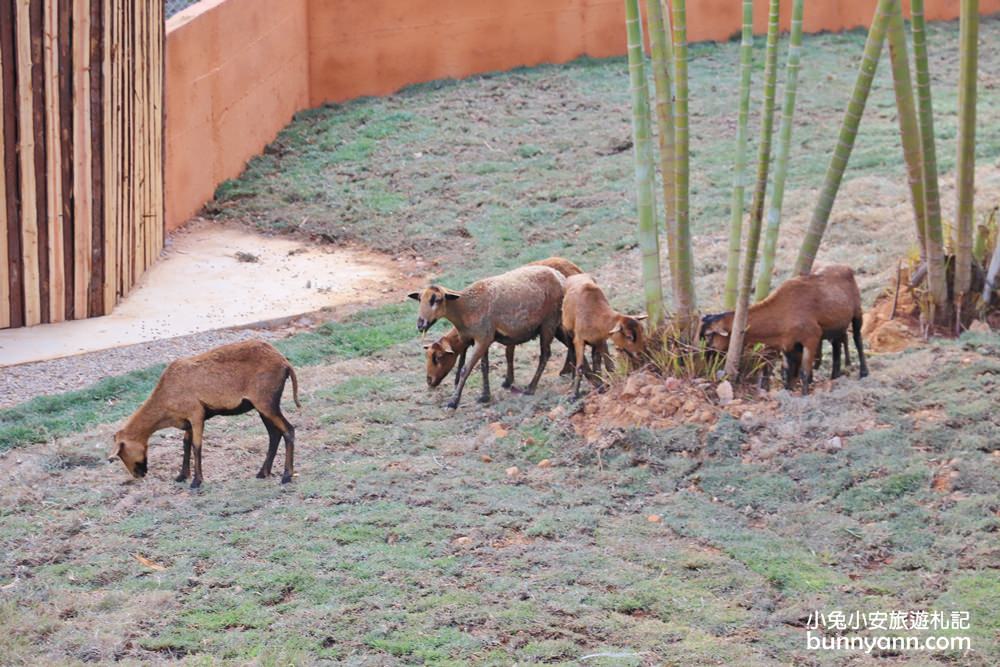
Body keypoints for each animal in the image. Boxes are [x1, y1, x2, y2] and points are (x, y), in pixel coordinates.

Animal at [109, 342, 298, 488]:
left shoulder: (196, 415)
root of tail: (284, 362)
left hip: (266, 403)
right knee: (274, 435)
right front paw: (182, 476)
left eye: (121, 452)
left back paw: (286, 476)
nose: (138, 475)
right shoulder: (187, 420)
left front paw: (196, 482)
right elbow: (185, 444)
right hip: (263, 407)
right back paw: (263, 472)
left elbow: (196, 446)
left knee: (288, 430)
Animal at [406, 264, 564, 410]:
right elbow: (483, 367)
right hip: (556, 323)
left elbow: (465, 370)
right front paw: (485, 396)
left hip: (549, 322)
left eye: (437, 300)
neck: (465, 308)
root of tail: (558, 274)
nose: (420, 324)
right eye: (419, 299)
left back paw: (531, 388)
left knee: (545, 354)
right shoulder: (481, 339)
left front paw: (453, 402)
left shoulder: (483, 339)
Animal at [422, 258, 584, 388]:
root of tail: (574, 268)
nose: (429, 381)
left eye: (438, 357)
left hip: (554, 321)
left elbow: (507, 354)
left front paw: (507, 381)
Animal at [704, 266, 868, 396]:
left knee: (858, 340)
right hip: (837, 325)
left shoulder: (812, 337)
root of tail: (846, 267)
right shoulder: (788, 344)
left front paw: (804, 395)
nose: (705, 357)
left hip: (857, 312)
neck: (782, 311)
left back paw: (863, 373)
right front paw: (788, 391)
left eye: (708, 335)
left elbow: (803, 371)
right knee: (837, 345)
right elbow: (787, 371)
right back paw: (835, 376)